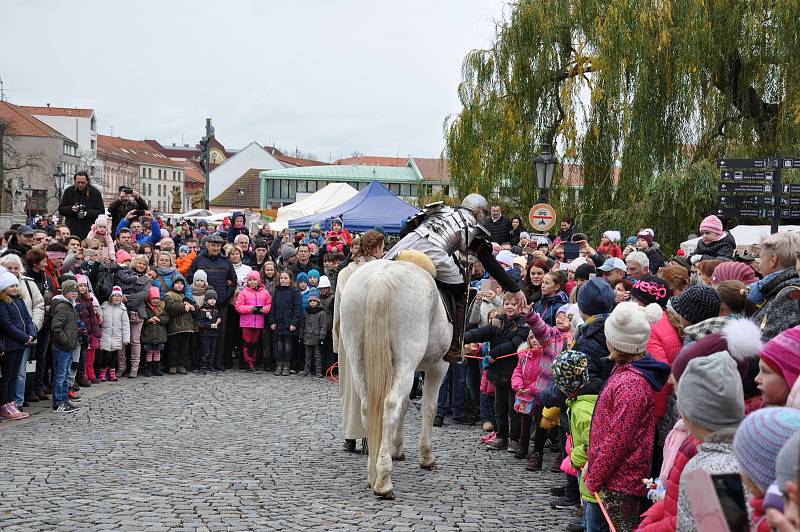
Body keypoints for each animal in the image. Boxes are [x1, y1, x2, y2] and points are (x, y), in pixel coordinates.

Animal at [338, 254, 450, 498]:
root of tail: (382, 279)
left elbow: (407, 403)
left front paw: (396, 448)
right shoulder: (439, 365)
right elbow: (429, 406)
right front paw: (426, 457)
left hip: (358, 358)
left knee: (368, 406)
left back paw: (372, 473)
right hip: (407, 359)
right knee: (390, 405)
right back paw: (384, 481)